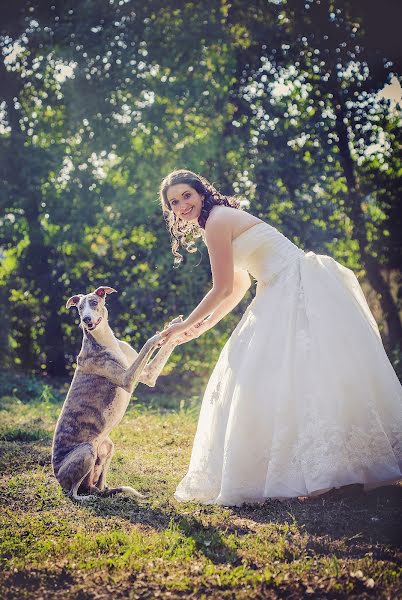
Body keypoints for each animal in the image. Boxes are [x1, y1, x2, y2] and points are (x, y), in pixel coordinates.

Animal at [51, 286, 177, 502]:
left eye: (94, 302)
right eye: (79, 307)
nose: (86, 319)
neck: (105, 340)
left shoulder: (147, 374)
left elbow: (163, 352)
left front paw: (175, 325)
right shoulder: (127, 378)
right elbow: (149, 343)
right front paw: (159, 335)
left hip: (107, 448)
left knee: (98, 484)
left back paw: (106, 491)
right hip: (86, 451)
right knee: (72, 493)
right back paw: (87, 497)